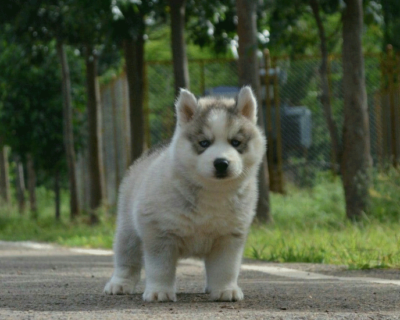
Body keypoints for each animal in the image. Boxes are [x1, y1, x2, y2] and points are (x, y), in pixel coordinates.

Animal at [104, 86, 266, 302]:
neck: (213, 192)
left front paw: (225, 289)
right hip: (128, 230)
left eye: (236, 142)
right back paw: (119, 284)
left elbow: (226, 267)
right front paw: (159, 291)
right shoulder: (159, 233)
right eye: (204, 143)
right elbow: (160, 268)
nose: (221, 163)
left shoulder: (229, 236)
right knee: (126, 258)